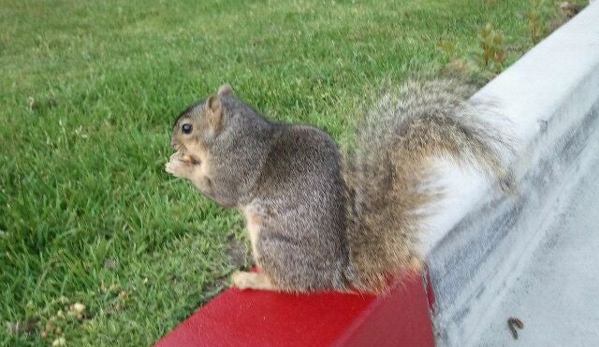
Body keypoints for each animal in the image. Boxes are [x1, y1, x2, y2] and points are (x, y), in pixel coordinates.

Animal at [165, 81, 516, 294]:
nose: (171, 143)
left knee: (288, 284)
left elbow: (219, 191)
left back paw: (250, 278)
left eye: (187, 128)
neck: (234, 133)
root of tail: (336, 272)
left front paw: (179, 166)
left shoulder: (235, 167)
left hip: (270, 241)